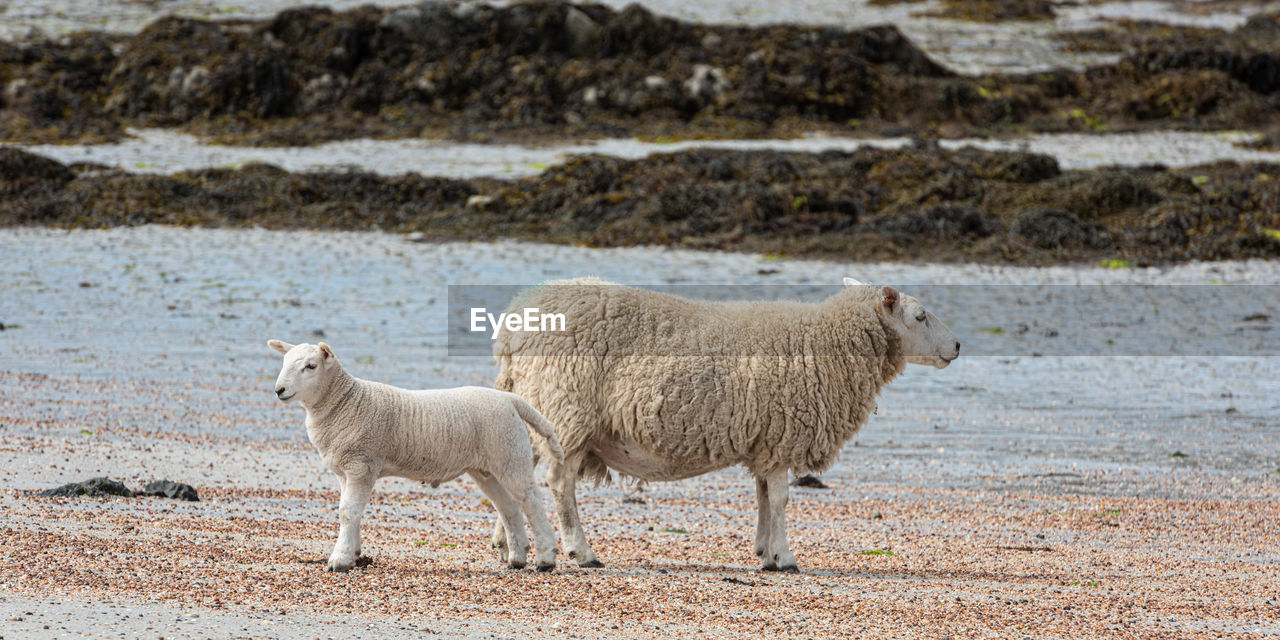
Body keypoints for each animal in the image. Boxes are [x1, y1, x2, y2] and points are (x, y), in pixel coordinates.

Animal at [267, 343, 563, 573]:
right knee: (509, 507)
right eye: (284, 362)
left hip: (510, 453)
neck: (345, 403)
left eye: (311, 366)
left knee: (532, 502)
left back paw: (546, 559)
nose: (279, 390)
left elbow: (347, 512)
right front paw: (354, 554)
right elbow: (351, 512)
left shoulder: (361, 464)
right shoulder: (346, 470)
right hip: (487, 467)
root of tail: (511, 400)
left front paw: (339, 560)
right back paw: (517, 559)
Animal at [494, 277, 957, 573]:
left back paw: (508, 544)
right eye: (920, 316)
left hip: (540, 406)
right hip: (569, 410)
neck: (828, 342)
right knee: (559, 483)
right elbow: (781, 499)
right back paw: (581, 551)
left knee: (520, 473)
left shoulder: (766, 439)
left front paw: (764, 552)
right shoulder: (783, 433)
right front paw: (785, 558)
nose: (957, 345)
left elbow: (764, 497)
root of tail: (512, 327)